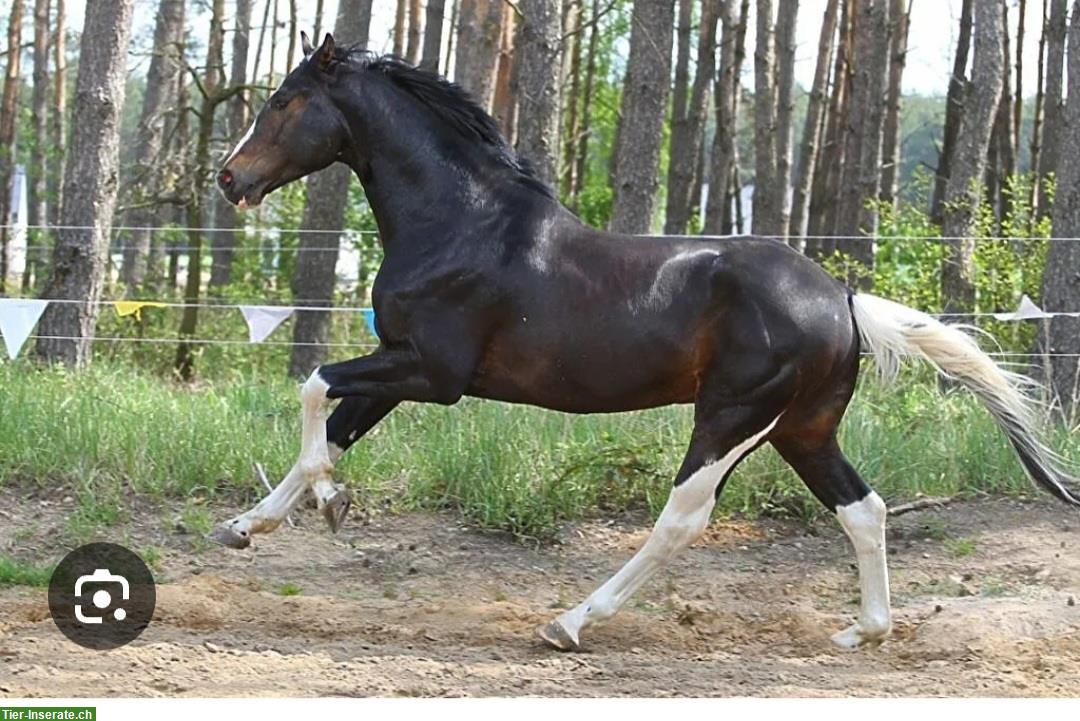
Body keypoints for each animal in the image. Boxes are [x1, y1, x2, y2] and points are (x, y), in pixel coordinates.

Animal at [212, 33, 1080, 651]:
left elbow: (314, 389)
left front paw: (327, 502)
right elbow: (333, 424)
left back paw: (568, 622)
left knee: (684, 517)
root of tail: (840, 296)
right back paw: (862, 631)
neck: (460, 223)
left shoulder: (432, 370)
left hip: (732, 417)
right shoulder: (401, 370)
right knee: (863, 508)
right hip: (802, 428)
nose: (228, 178)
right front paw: (250, 525)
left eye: (285, 100)